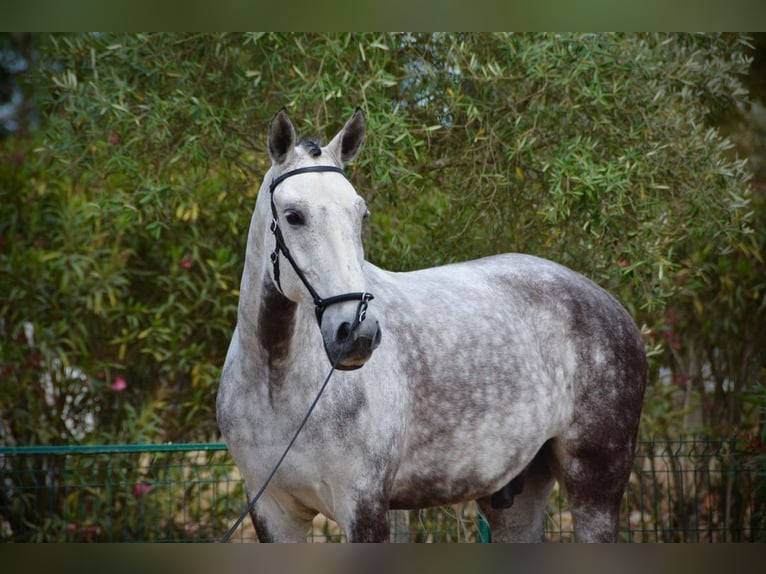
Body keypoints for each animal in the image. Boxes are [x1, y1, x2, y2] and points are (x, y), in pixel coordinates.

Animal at [218, 108, 648, 544]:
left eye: (361, 215)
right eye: (293, 217)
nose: (357, 333)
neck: (276, 382)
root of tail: (610, 304)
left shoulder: (365, 509)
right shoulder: (273, 513)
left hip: (595, 485)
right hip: (517, 496)